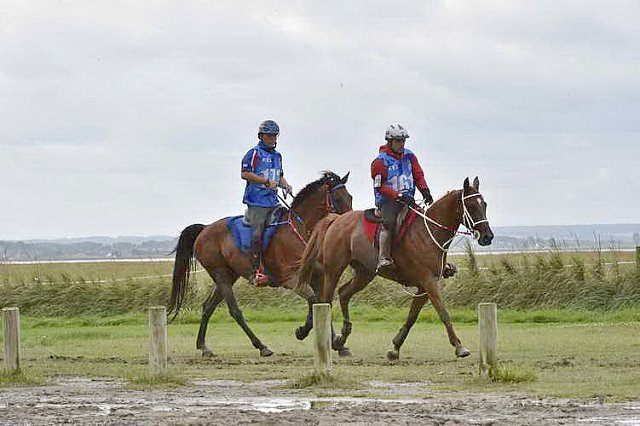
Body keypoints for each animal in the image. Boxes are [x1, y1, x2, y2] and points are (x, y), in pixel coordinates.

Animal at [168, 171, 352, 358]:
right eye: (338, 198)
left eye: (349, 197)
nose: (347, 224)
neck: (301, 230)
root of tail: (205, 229)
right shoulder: (291, 280)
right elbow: (314, 301)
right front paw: (302, 331)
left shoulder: (316, 277)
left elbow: (322, 305)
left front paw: (338, 344)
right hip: (220, 274)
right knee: (235, 311)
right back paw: (262, 346)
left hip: (228, 276)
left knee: (208, 307)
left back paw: (203, 346)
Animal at [296, 176, 496, 360]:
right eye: (471, 205)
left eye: (485, 204)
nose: (487, 237)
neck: (430, 232)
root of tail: (336, 219)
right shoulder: (429, 282)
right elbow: (443, 313)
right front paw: (459, 347)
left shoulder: (424, 286)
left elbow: (412, 316)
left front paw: (395, 347)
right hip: (333, 270)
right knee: (326, 302)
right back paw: (330, 340)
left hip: (365, 273)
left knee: (344, 293)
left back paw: (341, 339)